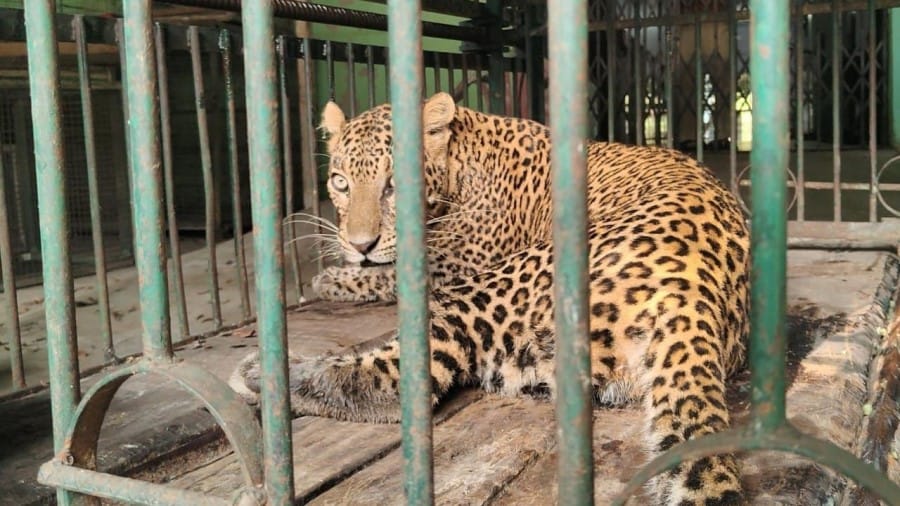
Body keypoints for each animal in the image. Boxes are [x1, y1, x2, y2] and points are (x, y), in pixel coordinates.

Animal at [230, 91, 750, 505]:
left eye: (394, 184)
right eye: (340, 182)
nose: (360, 243)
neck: (459, 156)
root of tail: (690, 293)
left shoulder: (460, 259)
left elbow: (392, 270)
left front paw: (331, 277)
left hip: (488, 290)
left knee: (402, 379)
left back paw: (263, 376)